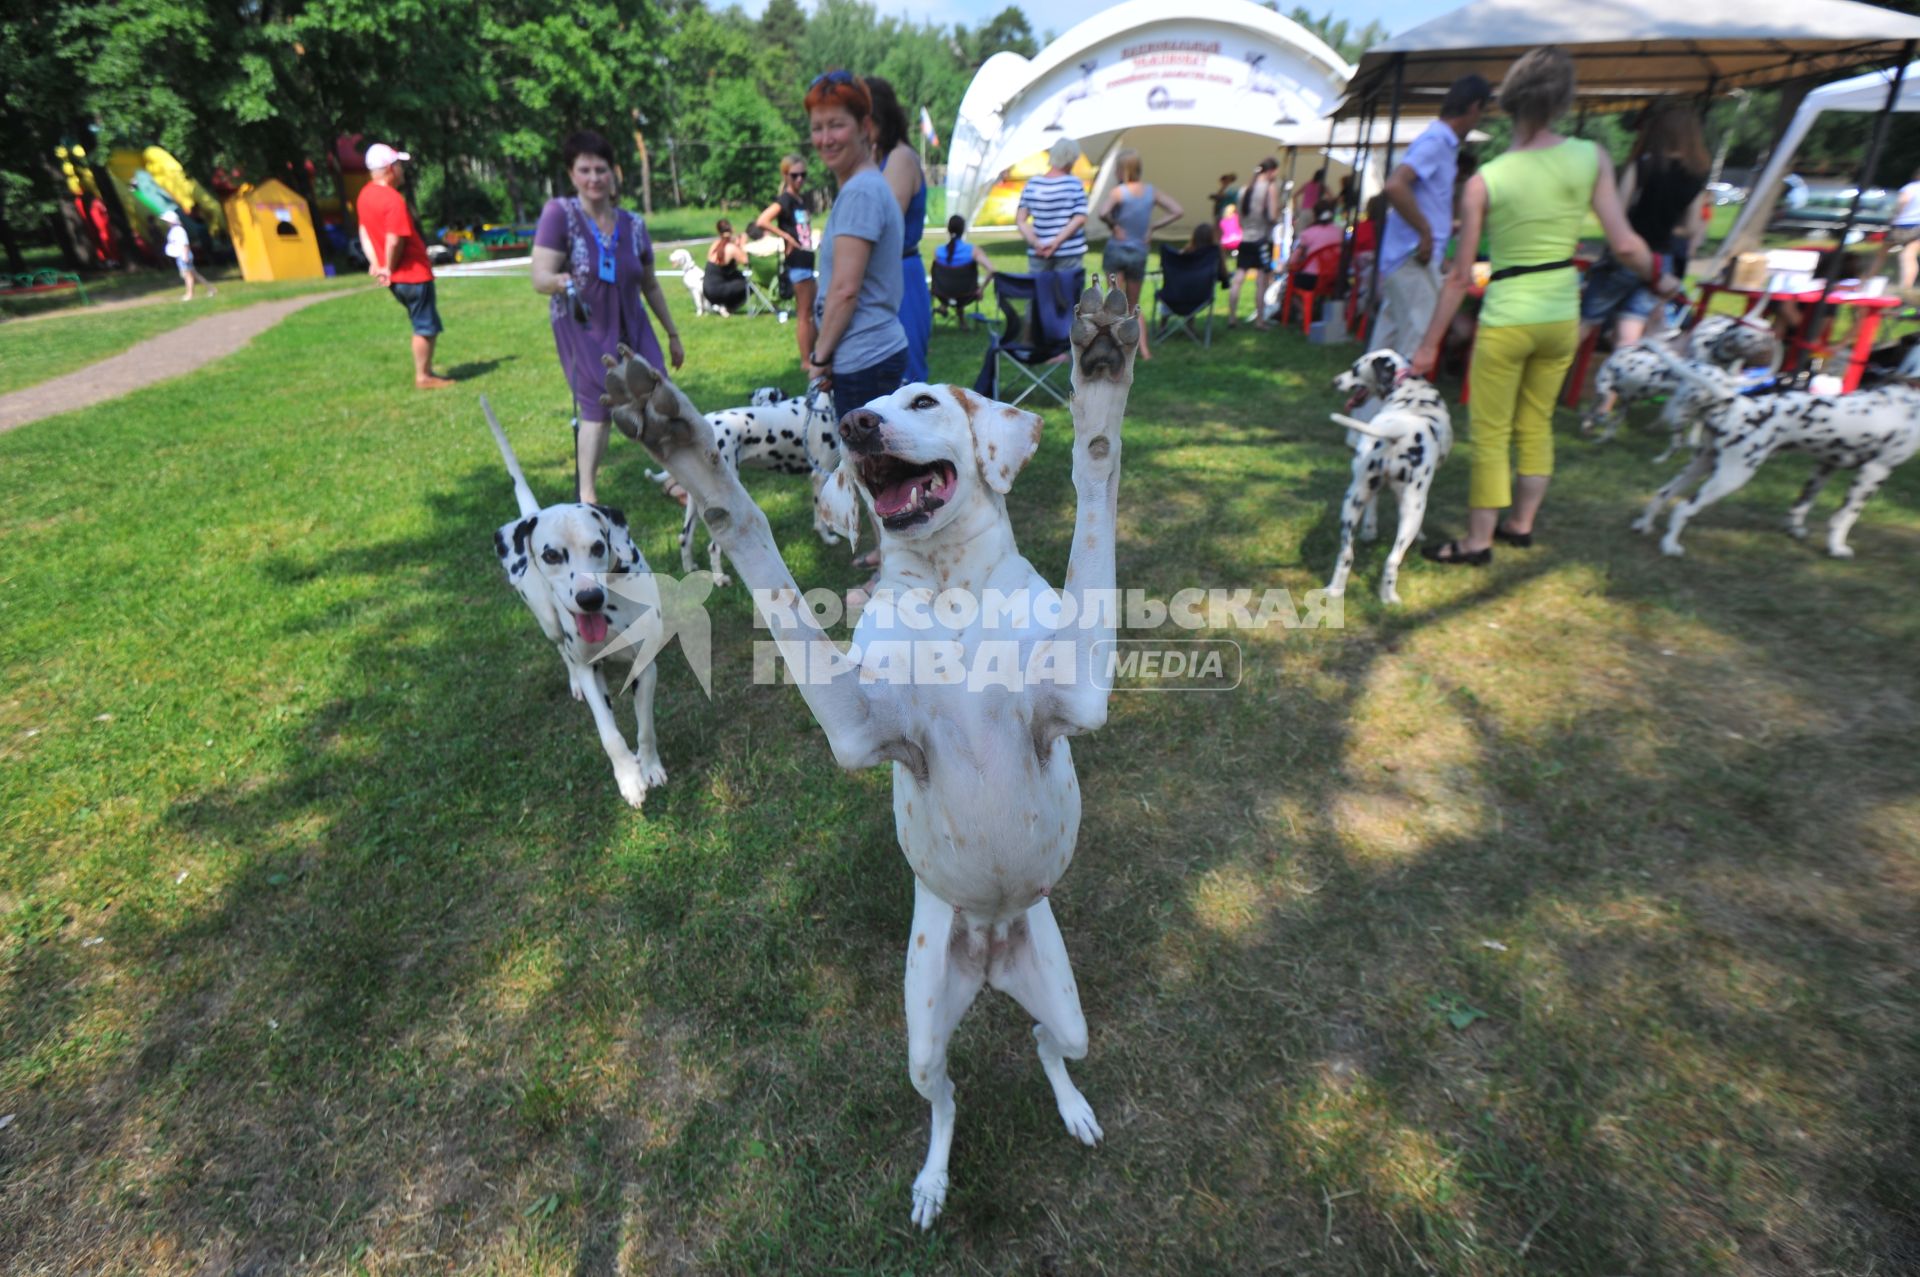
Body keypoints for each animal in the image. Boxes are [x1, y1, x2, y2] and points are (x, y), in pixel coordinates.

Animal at [483, 395, 672, 806]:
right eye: (552, 555)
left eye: (599, 546)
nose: (588, 598)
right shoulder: (589, 668)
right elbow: (610, 734)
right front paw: (628, 777)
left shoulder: (646, 667)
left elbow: (646, 728)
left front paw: (649, 766)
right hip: (549, 621)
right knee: (562, 651)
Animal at [599, 286, 1136, 1228]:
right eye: (863, 410)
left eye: (920, 399)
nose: (853, 423)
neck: (952, 594)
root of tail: (992, 942)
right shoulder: (858, 729)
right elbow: (751, 538)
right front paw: (685, 442)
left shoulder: (1078, 696)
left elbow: (1096, 483)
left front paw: (1100, 380)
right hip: (920, 1029)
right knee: (947, 1093)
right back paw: (932, 1180)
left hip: (1070, 1006)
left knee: (1047, 1040)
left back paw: (1070, 1104)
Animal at [1320, 345, 1451, 606]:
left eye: (1354, 369)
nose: (1335, 381)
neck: (1409, 390)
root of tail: (1398, 431)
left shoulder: (1372, 487)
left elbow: (1373, 508)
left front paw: (1369, 532)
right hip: (1414, 508)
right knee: (1392, 560)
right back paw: (1389, 598)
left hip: (1352, 500)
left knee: (1346, 554)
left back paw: (1335, 590)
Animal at [1582, 299, 1774, 458]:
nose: (1766, 348)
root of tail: (1721, 378)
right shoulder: (1624, 403)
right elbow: (1610, 426)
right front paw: (1600, 437)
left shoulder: (1603, 390)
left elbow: (1595, 413)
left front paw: (1589, 425)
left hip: (1680, 413)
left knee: (1677, 442)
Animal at [1635, 345, 1920, 556]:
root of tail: (1737, 403)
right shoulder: (1874, 472)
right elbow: (1845, 517)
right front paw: (1836, 548)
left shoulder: (1826, 464)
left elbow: (1801, 505)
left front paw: (1795, 530)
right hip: (1731, 476)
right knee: (1683, 507)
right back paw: (1670, 545)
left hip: (1701, 465)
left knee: (1663, 493)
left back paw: (1644, 525)